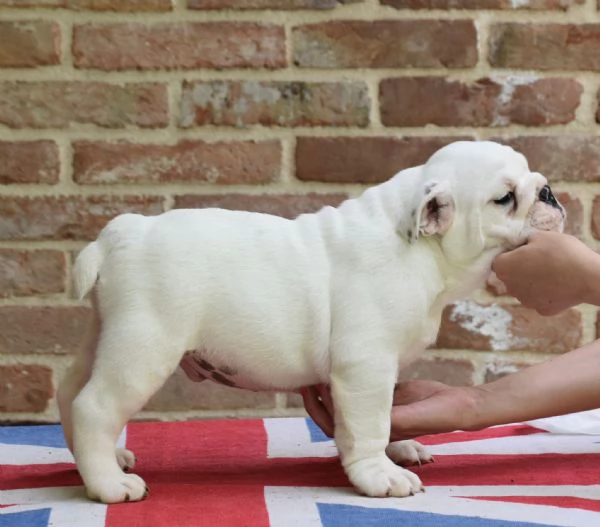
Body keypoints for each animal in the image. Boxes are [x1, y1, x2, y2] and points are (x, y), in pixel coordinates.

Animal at [56, 139, 564, 504]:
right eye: (505, 198)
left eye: (533, 176)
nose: (548, 191)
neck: (424, 251)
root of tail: (125, 231)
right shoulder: (366, 366)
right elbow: (371, 422)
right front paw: (379, 475)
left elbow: (381, 417)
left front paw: (398, 451)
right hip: (145, 343)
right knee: (95, 406)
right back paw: (108, 484)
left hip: (108, 334)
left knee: (72, 393)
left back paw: (100, 461)